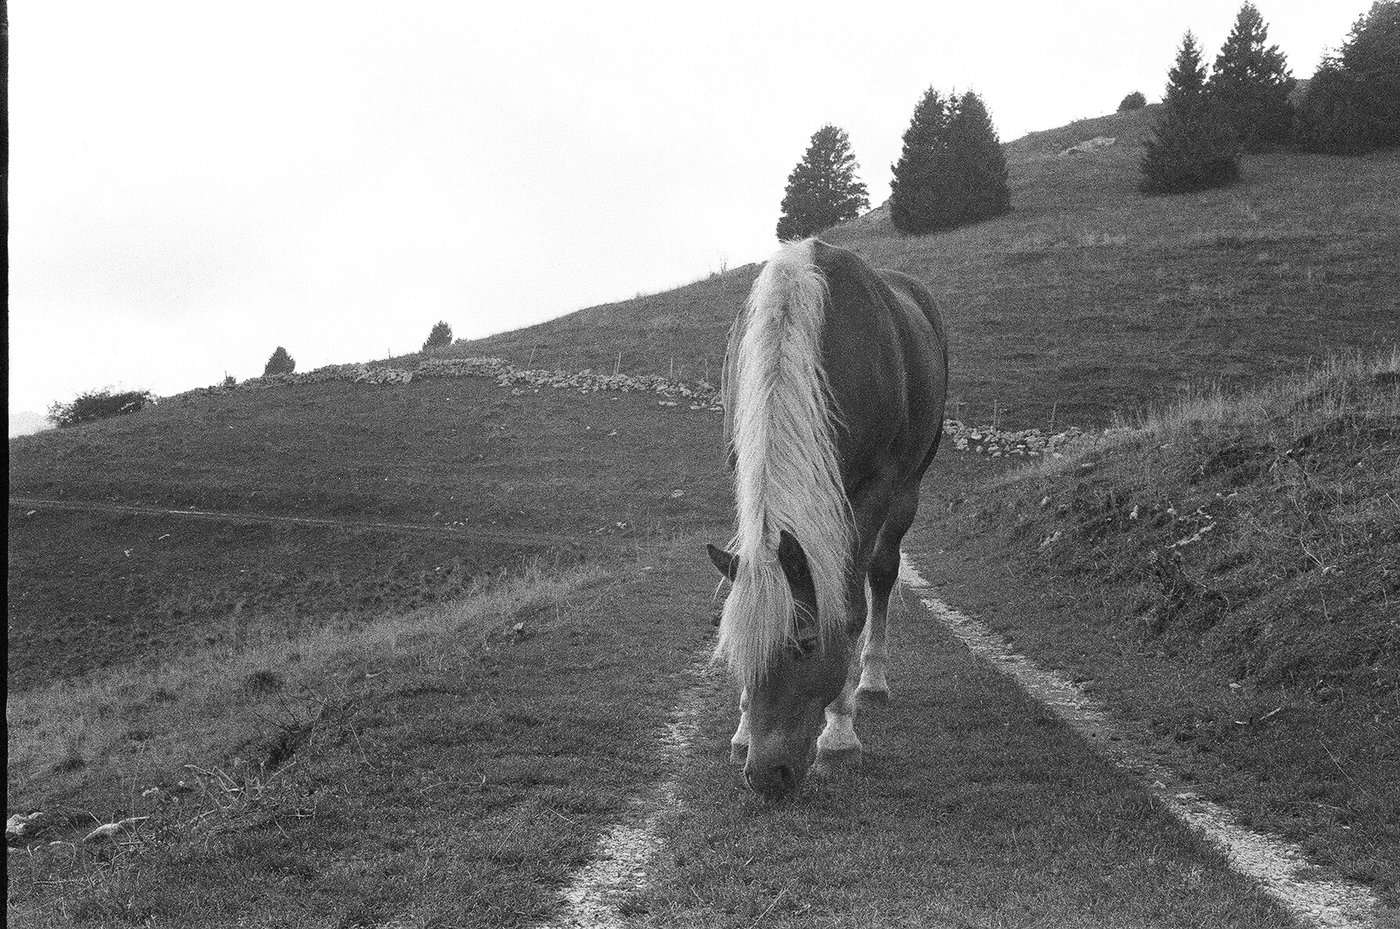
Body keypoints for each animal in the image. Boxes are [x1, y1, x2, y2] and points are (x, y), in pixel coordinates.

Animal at [706, 237, 948, 800]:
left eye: (806, 647)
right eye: (737, 654)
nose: (766, 776)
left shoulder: (875, 488)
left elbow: (851, 608)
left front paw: (838, 738)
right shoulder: (739, 468)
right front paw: (743, 730)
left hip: (910, 485)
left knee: (883, 571)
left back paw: (871, 681)